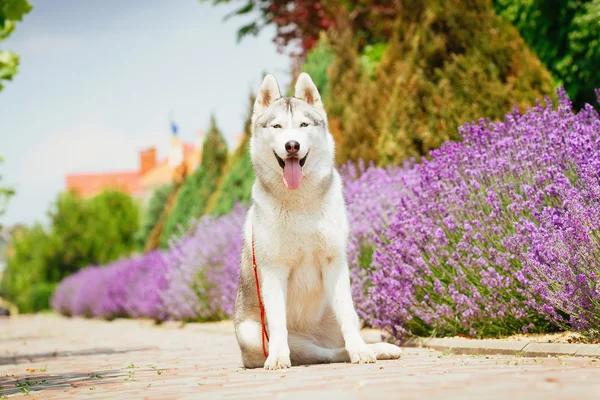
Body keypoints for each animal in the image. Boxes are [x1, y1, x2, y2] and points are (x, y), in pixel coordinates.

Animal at [234, 72, 404, 368]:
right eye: (277, 126)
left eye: (303, 124)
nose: (292, 145)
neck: (299, 202)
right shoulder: (273, 270)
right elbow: (277, 322)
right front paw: (277, 357)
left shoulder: (333, 261)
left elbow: (348, 317)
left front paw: (361, 351)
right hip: (252, 333)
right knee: (319, 353)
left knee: (340, 341)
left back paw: (373, 348)